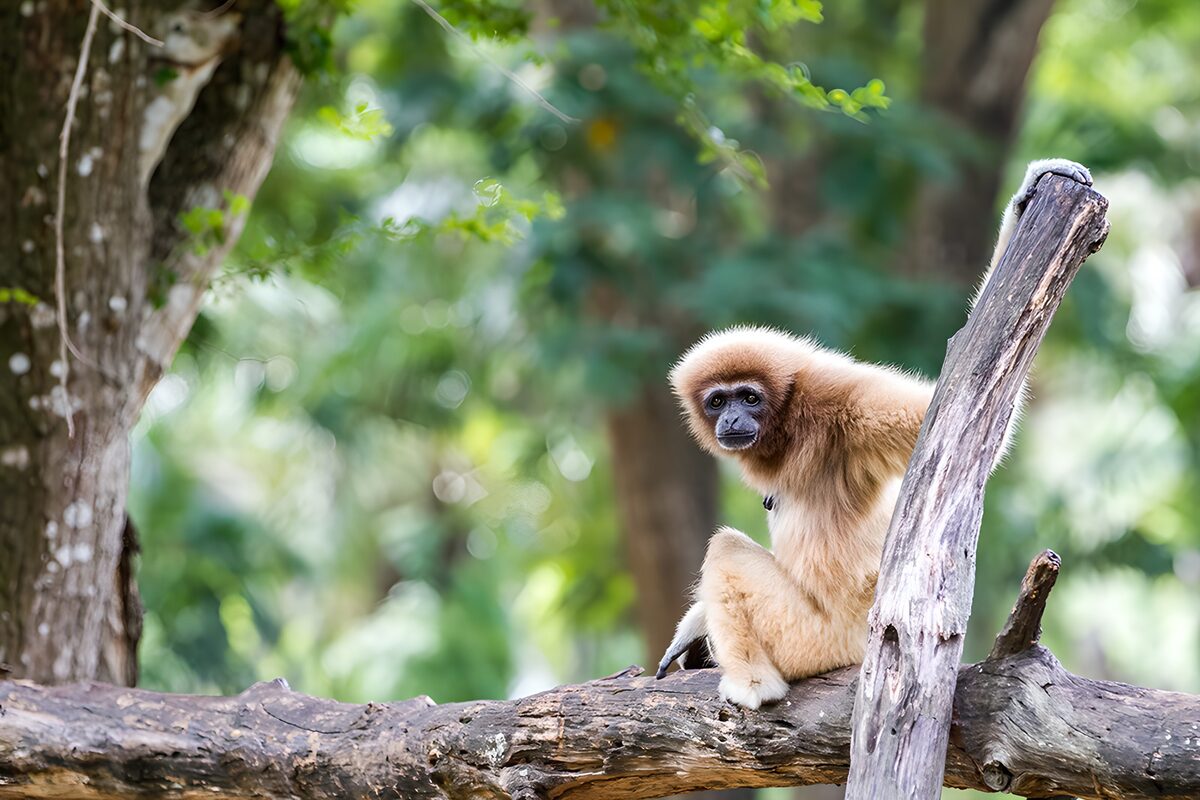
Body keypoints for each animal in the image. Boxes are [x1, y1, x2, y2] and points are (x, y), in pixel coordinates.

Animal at [655, 159, 1093, 709]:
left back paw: (752, 685)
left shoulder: (844, 403)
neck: (793, 421)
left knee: (726, 552)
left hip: (818, 639)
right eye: (718, 401)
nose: (732, 419)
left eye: (749, 397)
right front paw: (691, 627)